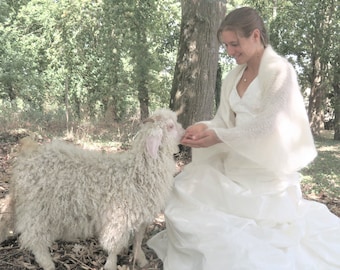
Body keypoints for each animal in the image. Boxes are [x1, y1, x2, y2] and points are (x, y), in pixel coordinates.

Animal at [0, 108, 185, 270]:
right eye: (170, 126)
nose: (185, 133)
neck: (138, 171)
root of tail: (27, 155)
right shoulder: (119, 217)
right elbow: (115, 245)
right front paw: (111, 264)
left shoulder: (141, 218)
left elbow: (138, 241)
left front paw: (141, 260)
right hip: (38, 208)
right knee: (34, 237)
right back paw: (47, 263)